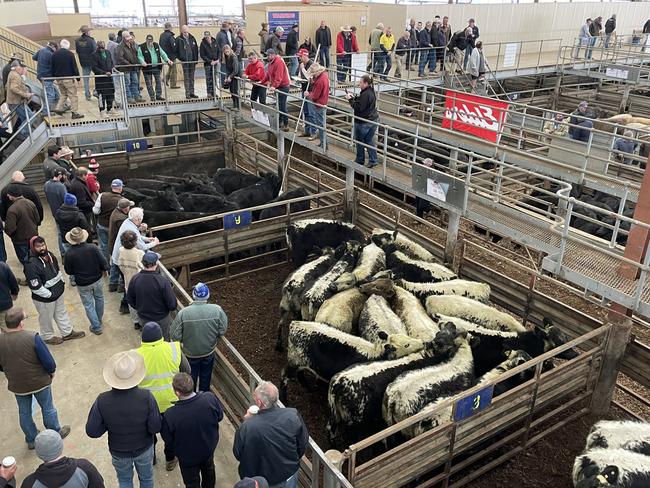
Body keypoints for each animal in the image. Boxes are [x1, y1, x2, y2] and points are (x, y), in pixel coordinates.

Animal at [324, 322, 460, 444]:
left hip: (334, 413)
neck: (424, 357)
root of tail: (338, 383)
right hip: (355, 421)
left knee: (331, 427)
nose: (423, 342)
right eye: (406, 344)